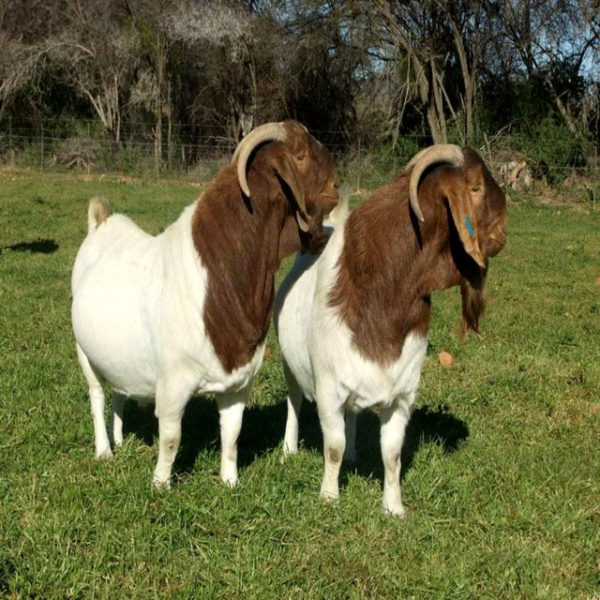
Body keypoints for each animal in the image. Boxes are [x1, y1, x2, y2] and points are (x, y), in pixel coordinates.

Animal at [71, 120, 338, 488]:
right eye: (299, 155)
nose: (337, 185)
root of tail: (101, 223)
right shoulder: (172, 383)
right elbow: (171, 438)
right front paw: (160, 485)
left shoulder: (238, 383)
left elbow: (232, 433)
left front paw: (230, 481)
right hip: (84, 351)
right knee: (97, 395)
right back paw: (104, 451)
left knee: (119, 394)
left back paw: (121, 440)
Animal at [276, 143, 506, 512]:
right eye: (475, 187)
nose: (502, 235)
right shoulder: (328, 390)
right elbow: (332, 447)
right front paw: (329, 497)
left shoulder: (402, 395)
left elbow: (393, 454)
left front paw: (394, 507)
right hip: (288, 362)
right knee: (294, 401)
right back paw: (289, 450)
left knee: (353, 416)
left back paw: (355, 455)